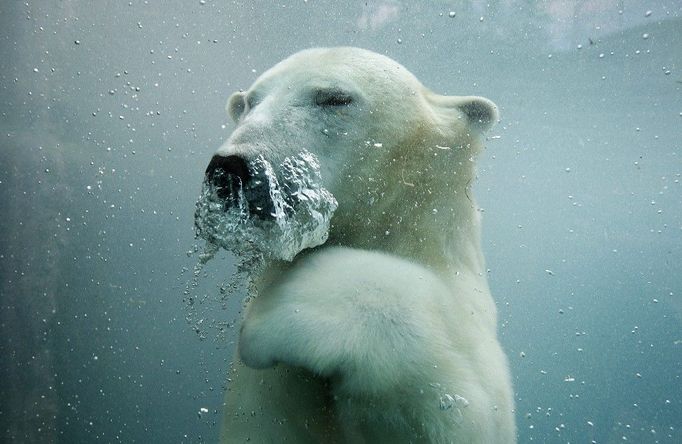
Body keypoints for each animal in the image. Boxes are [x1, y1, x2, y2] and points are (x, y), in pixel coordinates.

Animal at [197, 47, 516, 444]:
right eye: (248, 103)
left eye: (334, 98)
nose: (230, 168)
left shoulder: (467, 305)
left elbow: (470, 406)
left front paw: (278, 315)